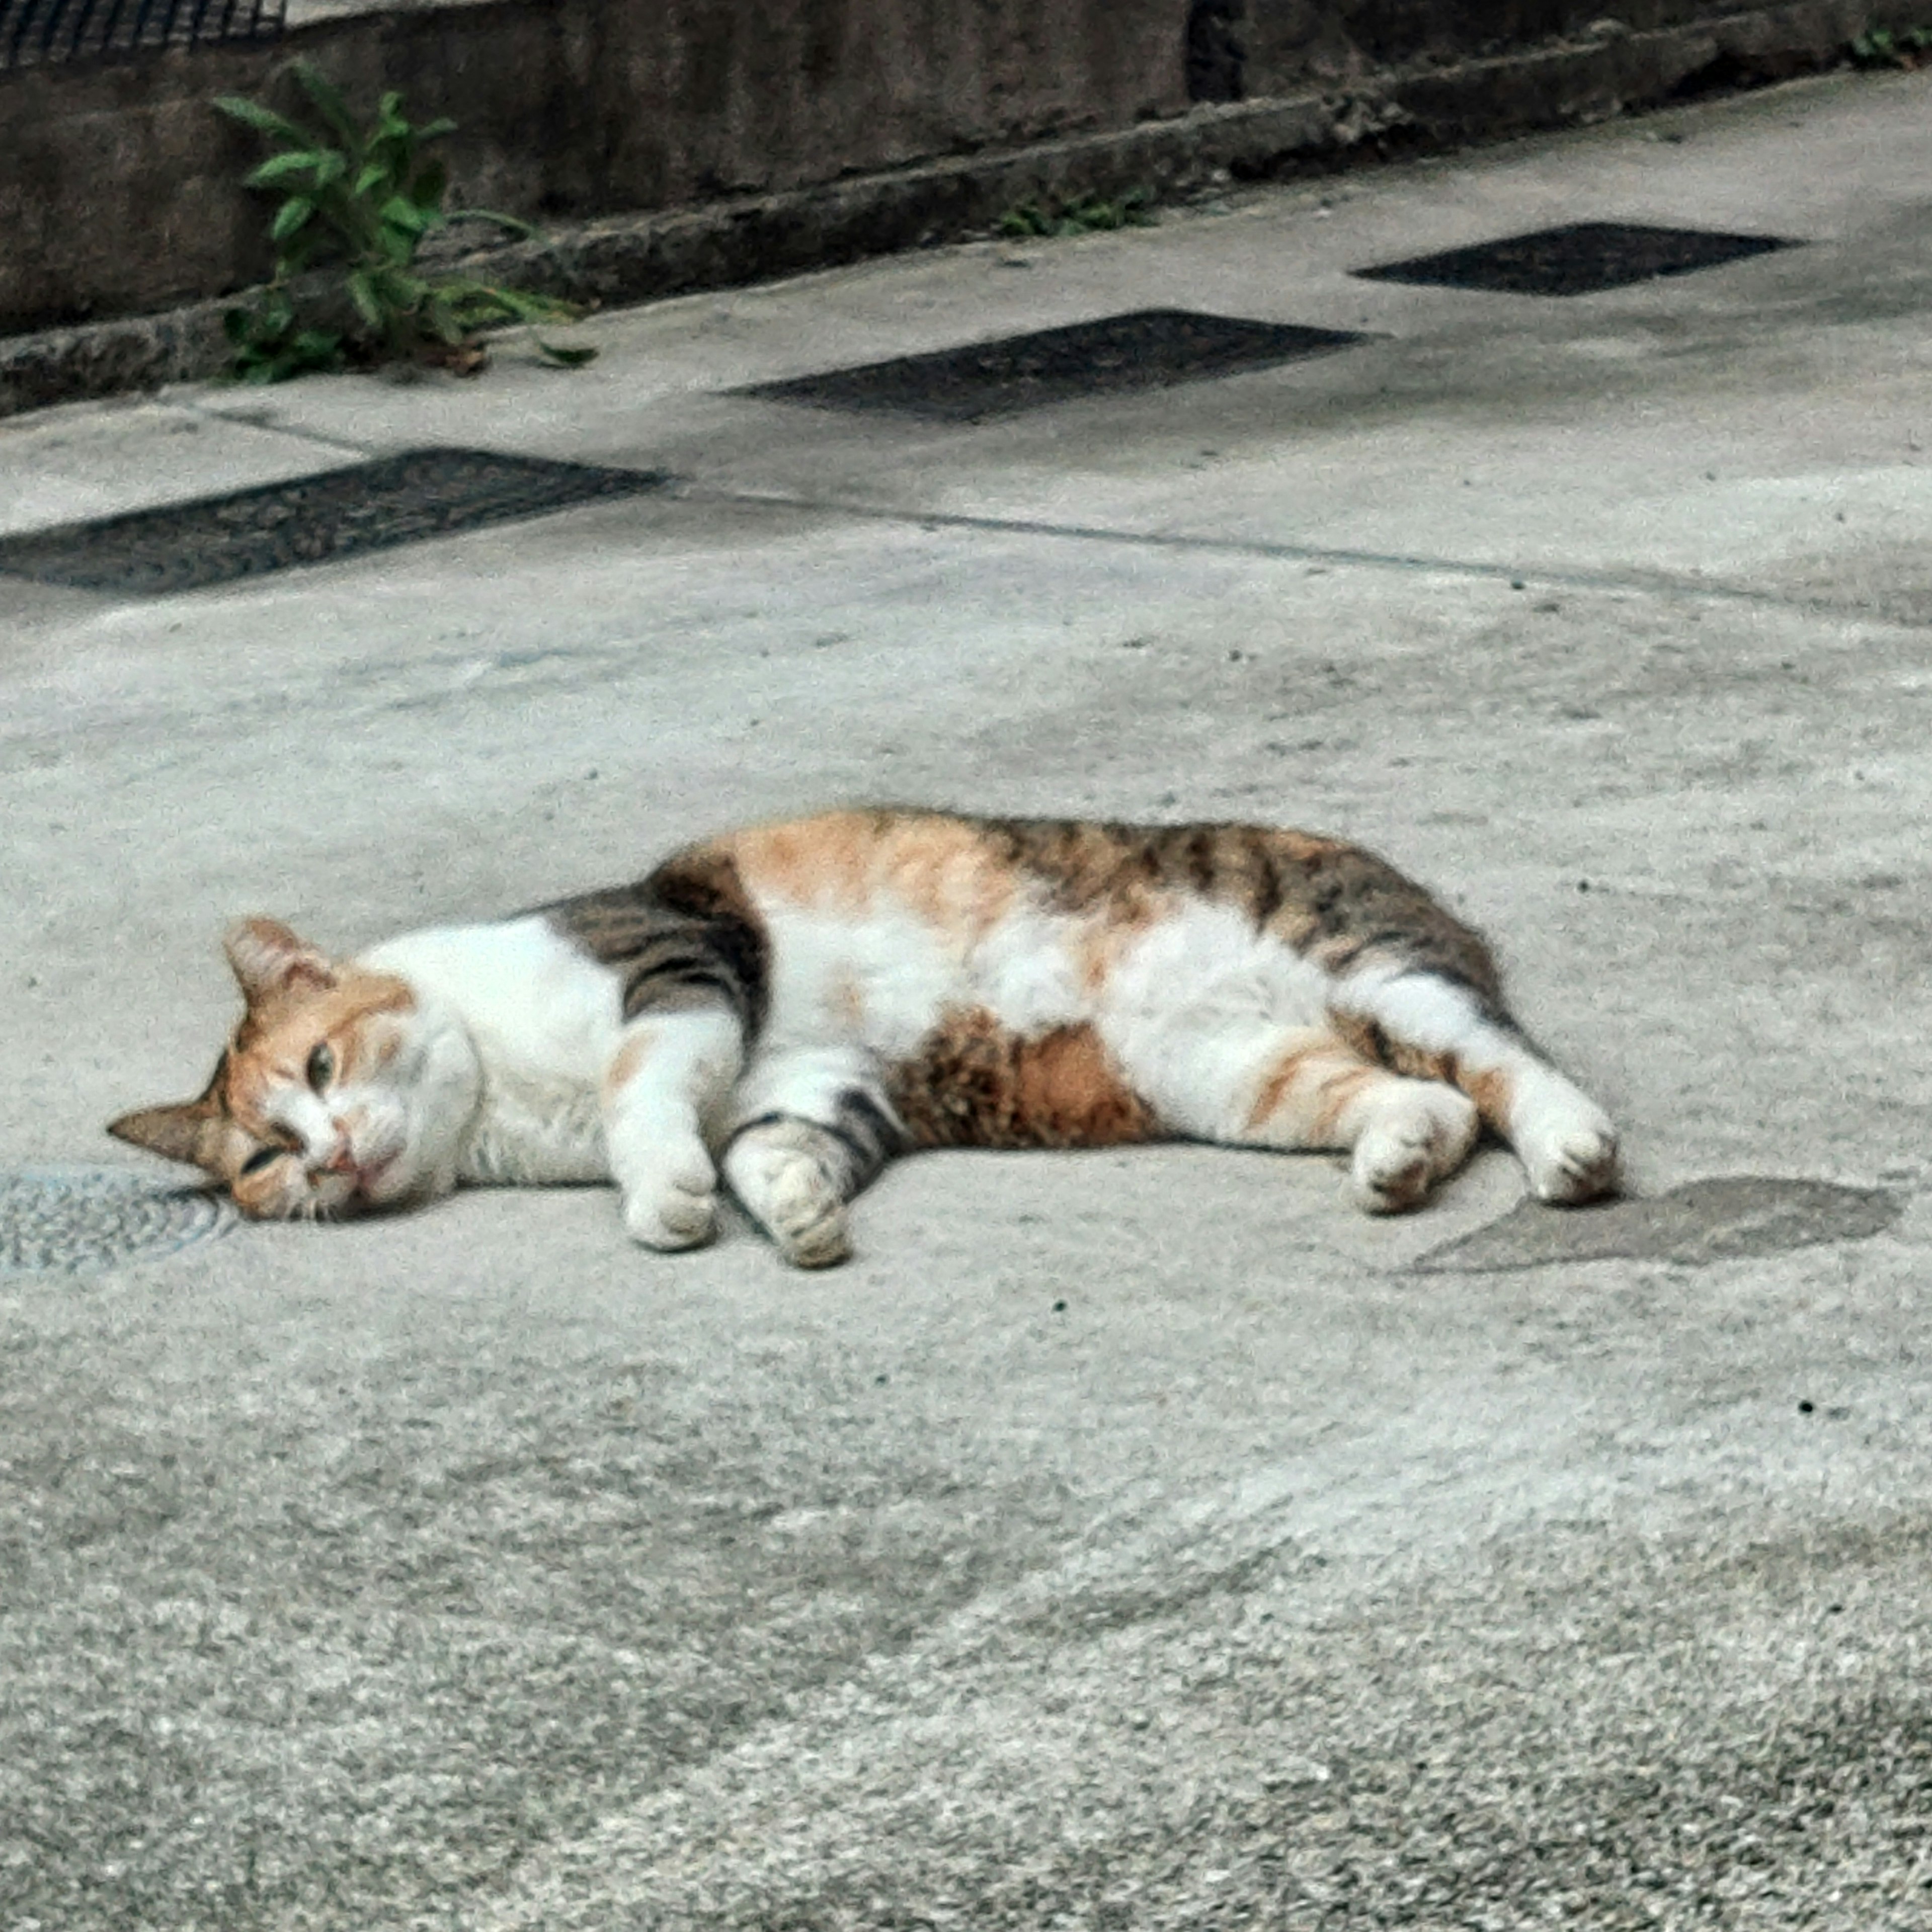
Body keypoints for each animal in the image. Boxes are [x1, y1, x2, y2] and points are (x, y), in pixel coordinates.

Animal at [106, 808, 1615, 1259]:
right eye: (260, 1162)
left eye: (319, 1065)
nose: (326, 1155)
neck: (509, 1102)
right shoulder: (814, 1079)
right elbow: (778, 1143)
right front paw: (792, 1212)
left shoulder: (681, 963)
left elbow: (645, 1086)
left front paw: (662, 1191)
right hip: (1229, 1075)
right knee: (1421, 1101)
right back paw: (1398, 1159)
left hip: (1375, 964)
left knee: (1507, 1065)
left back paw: (1572, 1147)